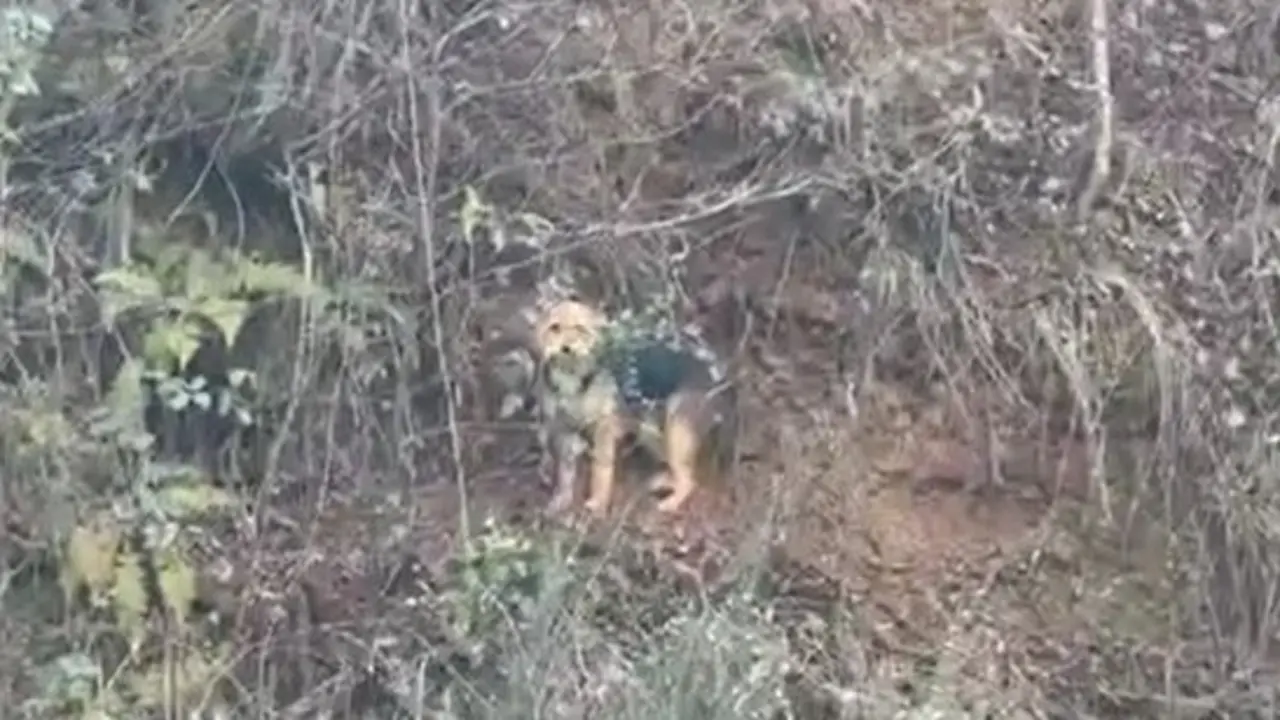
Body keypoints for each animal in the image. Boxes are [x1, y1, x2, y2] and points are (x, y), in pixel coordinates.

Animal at [527, 298, 737, 515]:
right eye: (554, 328)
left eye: (580, 328)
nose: (566, 348)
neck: (572, 377)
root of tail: (719, 378)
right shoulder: (564, 431)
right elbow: (564, 475)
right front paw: (561, 501)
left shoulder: (603, 430)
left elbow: (600, 471)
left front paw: (598, 502)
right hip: (651, 429)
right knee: (678, 469)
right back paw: (662, 482)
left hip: (675, 428)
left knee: (689, 480)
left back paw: (670, 503)